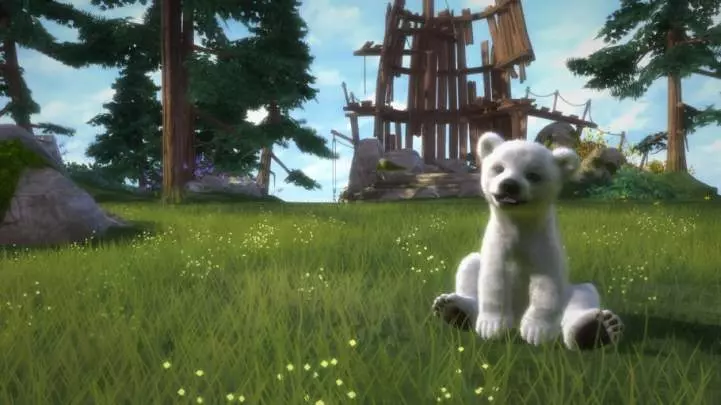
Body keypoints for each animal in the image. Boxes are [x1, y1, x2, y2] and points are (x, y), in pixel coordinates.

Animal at [432, 131, 623, 350]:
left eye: (533, 175)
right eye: (499, 168)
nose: (509, 185)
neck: (519, 224)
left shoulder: (542, 244)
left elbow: (545, 286)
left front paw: (535, 332)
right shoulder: (498, 242)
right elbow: (494, 280)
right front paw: (491, 327)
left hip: (568, 293)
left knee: (585, 293)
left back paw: (594, 329)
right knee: (470, 264)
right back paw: (454, 310)